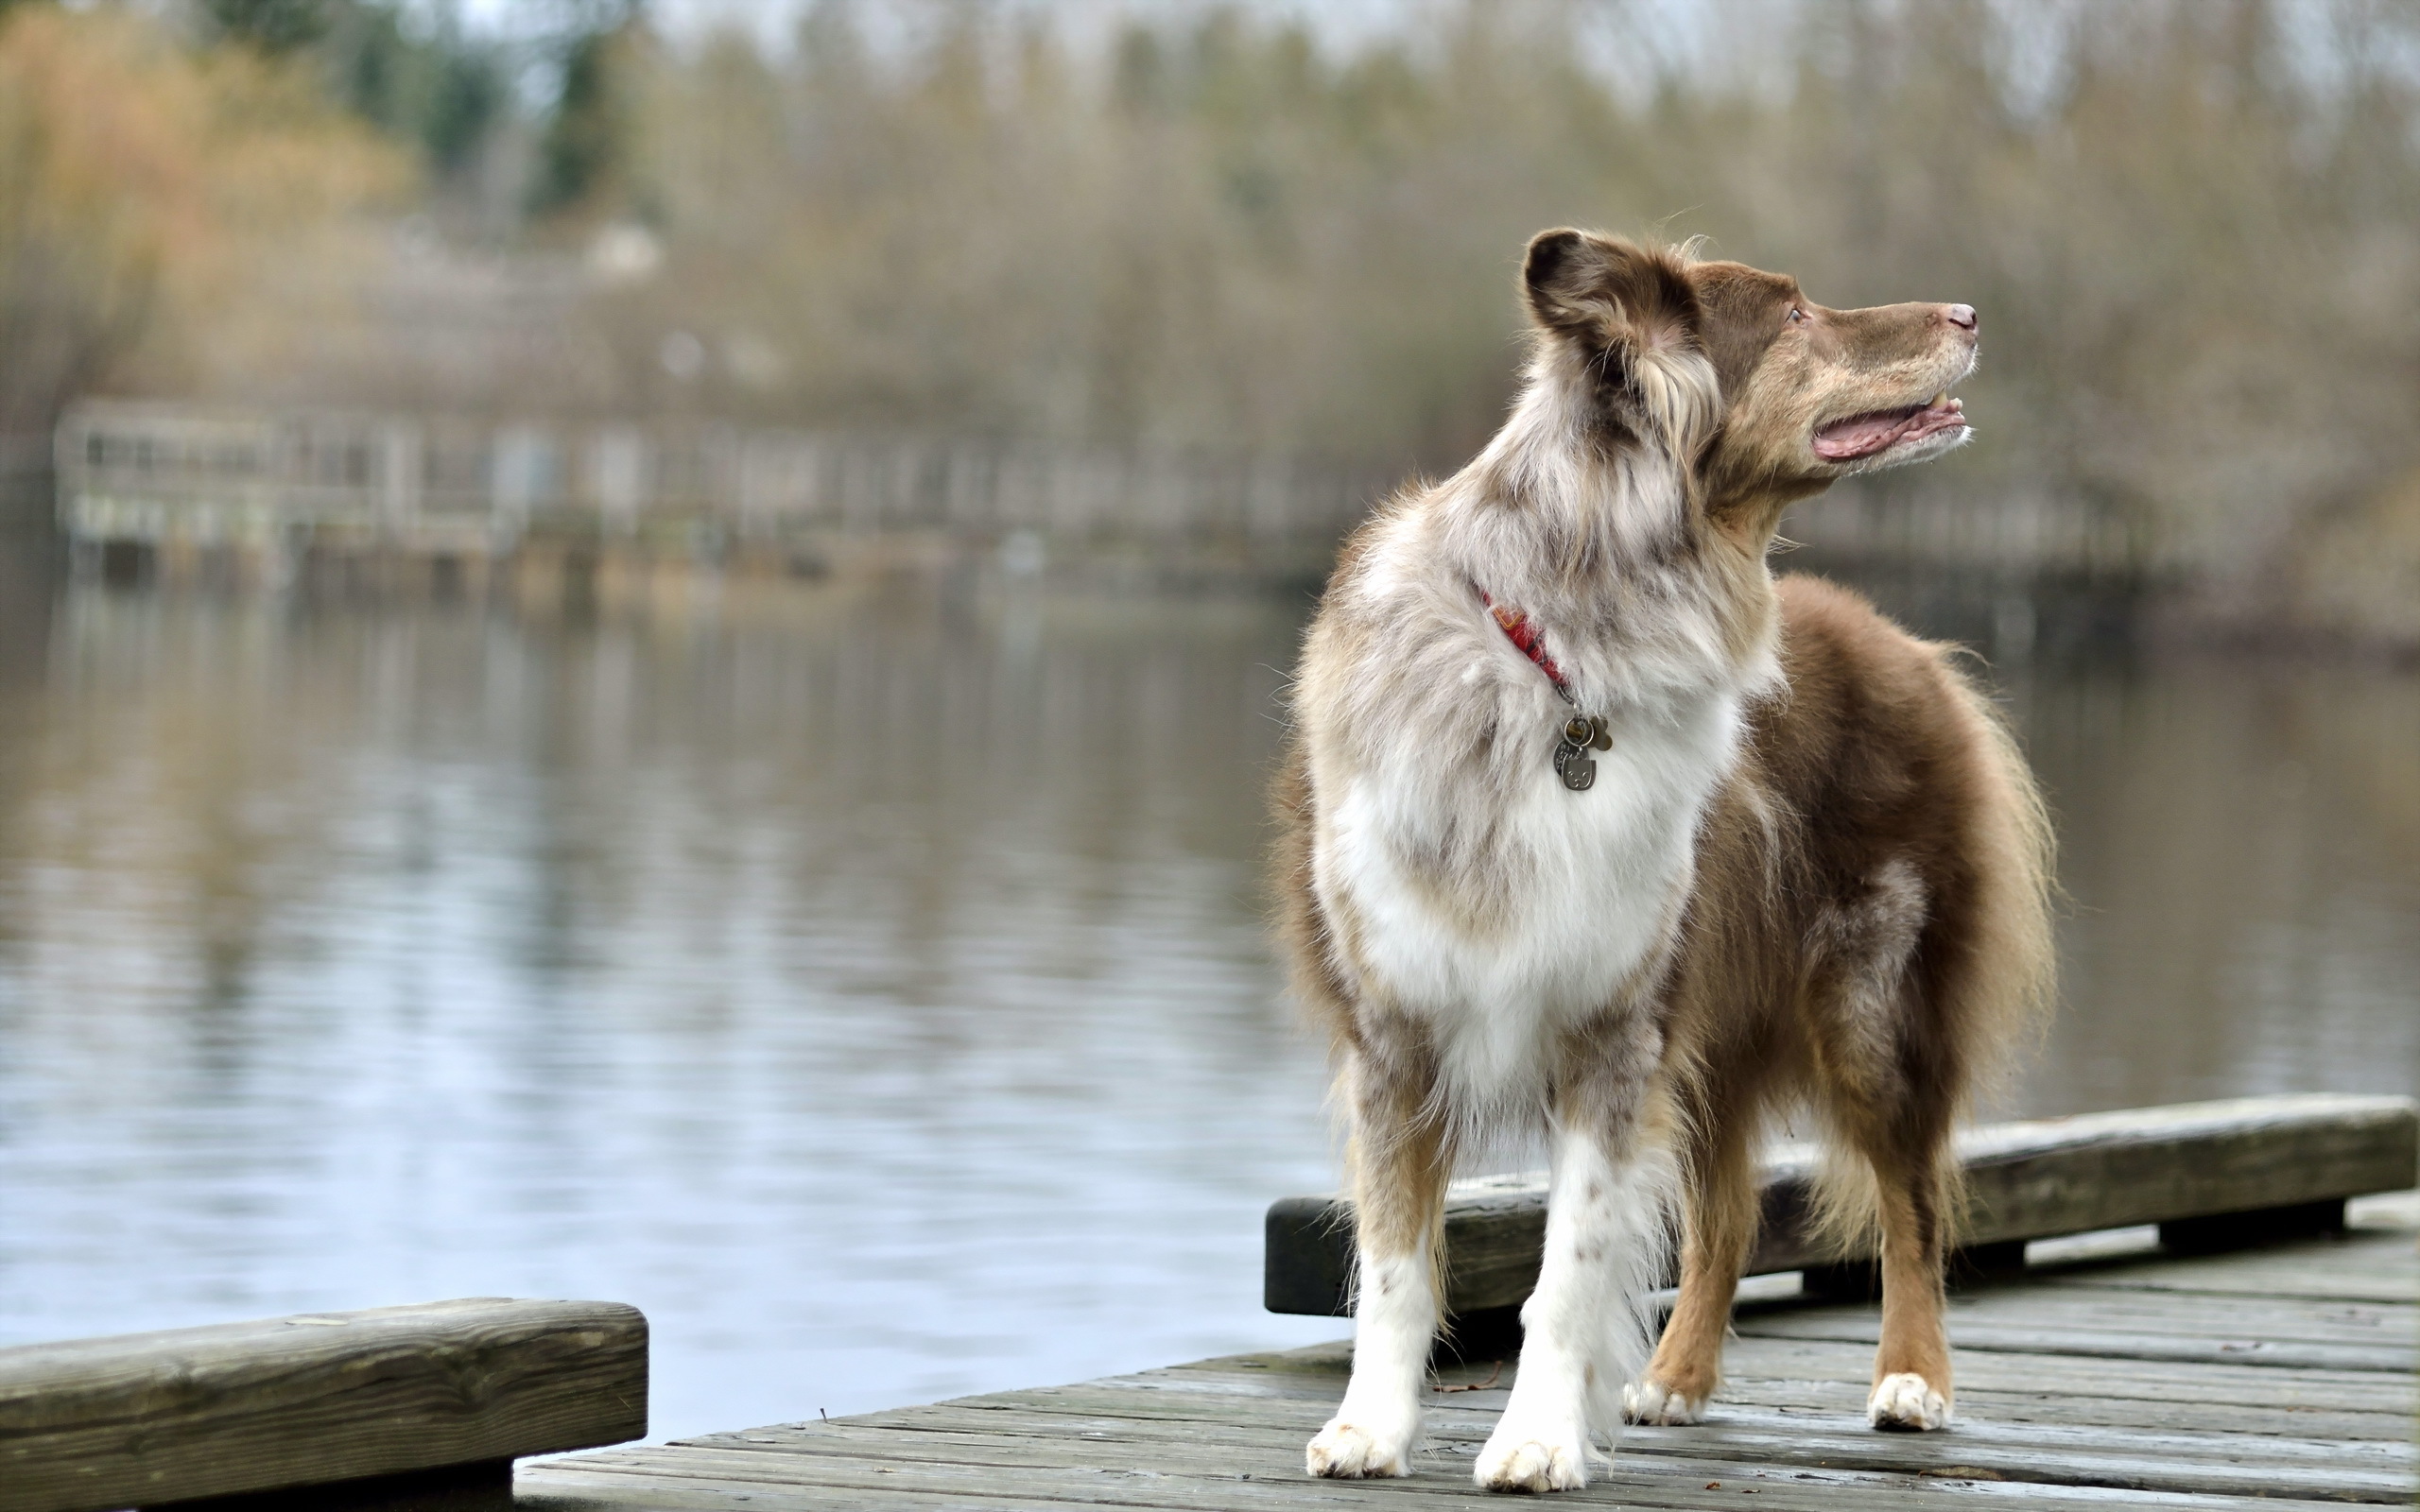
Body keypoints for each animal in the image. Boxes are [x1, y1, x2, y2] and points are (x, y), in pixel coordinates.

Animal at [1277, 230, 2051, 1489]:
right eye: (1793, 315)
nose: (1971, 312)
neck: (1559, 656)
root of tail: (1907, 643)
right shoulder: (1393, 1025)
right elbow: (1393, 1264)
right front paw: (1370, 1429)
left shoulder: (1613, 1028)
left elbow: (1568, 1270)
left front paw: (1536, 1440)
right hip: (1721, 1027)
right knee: (1728, 1215)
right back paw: (1677, 1379)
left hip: (1871, 1000)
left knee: (1913, 1201)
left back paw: (1912, 1381)